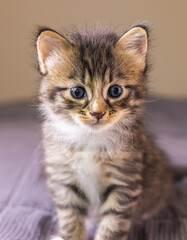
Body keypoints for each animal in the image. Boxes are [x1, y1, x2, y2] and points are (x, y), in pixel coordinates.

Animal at [36, 25, 172, 239]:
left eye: (115, 91)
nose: (97, 113)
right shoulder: (63, 179)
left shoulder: (124, 181)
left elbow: (112, 226)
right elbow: (70, 222)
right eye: (77, 92)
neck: (90, 140)